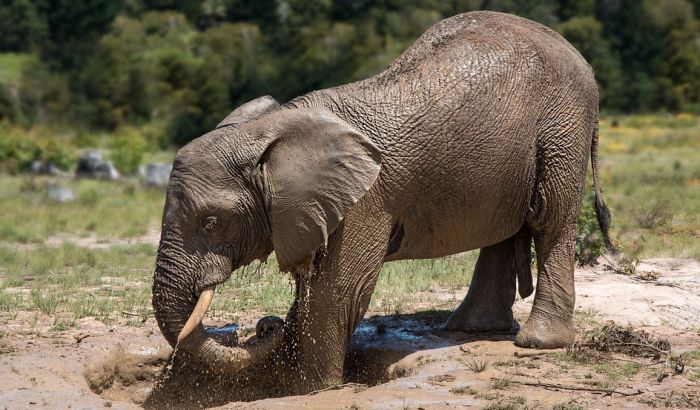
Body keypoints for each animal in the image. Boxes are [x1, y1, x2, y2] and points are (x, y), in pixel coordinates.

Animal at [152, 9, 612, 394]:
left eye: (211, 221)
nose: (263, 325)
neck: (272, 130)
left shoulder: (365, 200)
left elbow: (336, 291)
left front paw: (309, 390)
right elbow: (313, 288)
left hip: (563, 125)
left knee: (550, 218)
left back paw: (537, 342)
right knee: (503, 229)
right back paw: (468, 329)